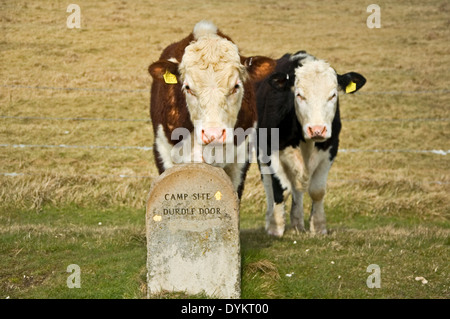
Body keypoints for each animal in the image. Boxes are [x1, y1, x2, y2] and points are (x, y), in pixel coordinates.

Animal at [256, 51, 366, 236]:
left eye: (333, 95)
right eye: (299, 95)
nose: (317, 129)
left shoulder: (330, 148)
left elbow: (317, 191)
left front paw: (319, 226)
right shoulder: (271, 150)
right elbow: (280, 190)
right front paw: (276, 227)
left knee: (297, 187)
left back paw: (297, 223)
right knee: (269, 185)